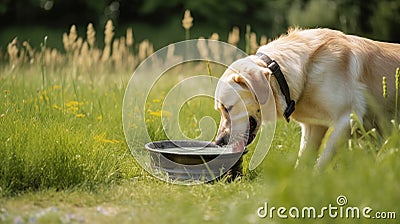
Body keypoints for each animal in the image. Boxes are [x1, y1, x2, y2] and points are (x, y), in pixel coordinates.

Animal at [216, 27, 400, 168]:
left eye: (228, 107)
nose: (219, 142)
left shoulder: (348, 117)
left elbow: (322, 162)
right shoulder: (314, 127)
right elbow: (303, 163)